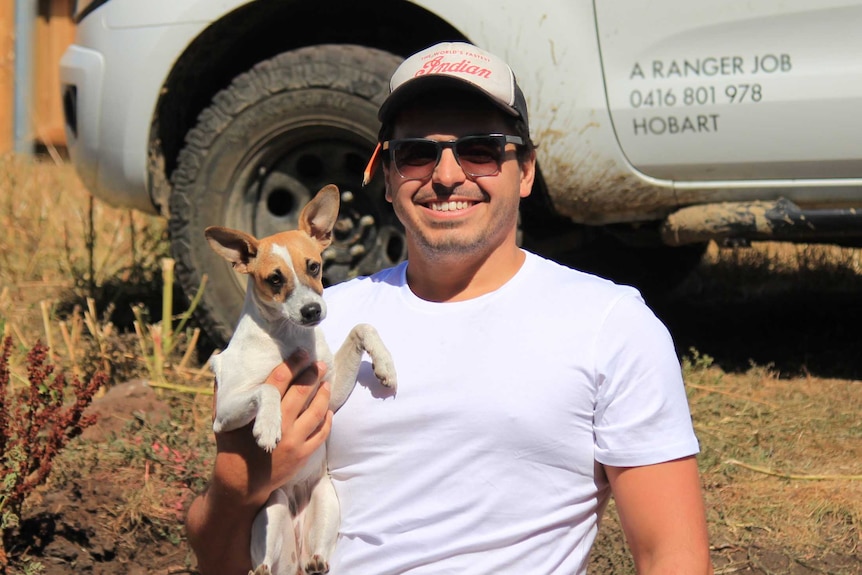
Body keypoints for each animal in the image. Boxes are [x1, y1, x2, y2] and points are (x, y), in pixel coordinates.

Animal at [206, 184, 398, 575]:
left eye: (315, 267)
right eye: (275, 279)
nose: (312, 311)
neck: (287, 337)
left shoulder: (330, 389)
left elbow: (362, 327)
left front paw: (385, 364)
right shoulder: (226, 411)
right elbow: (266, 387)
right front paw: (268, 426)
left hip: (325, 502)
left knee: (317, 555)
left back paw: (316, 562)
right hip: (273, 508)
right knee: (262, 563)